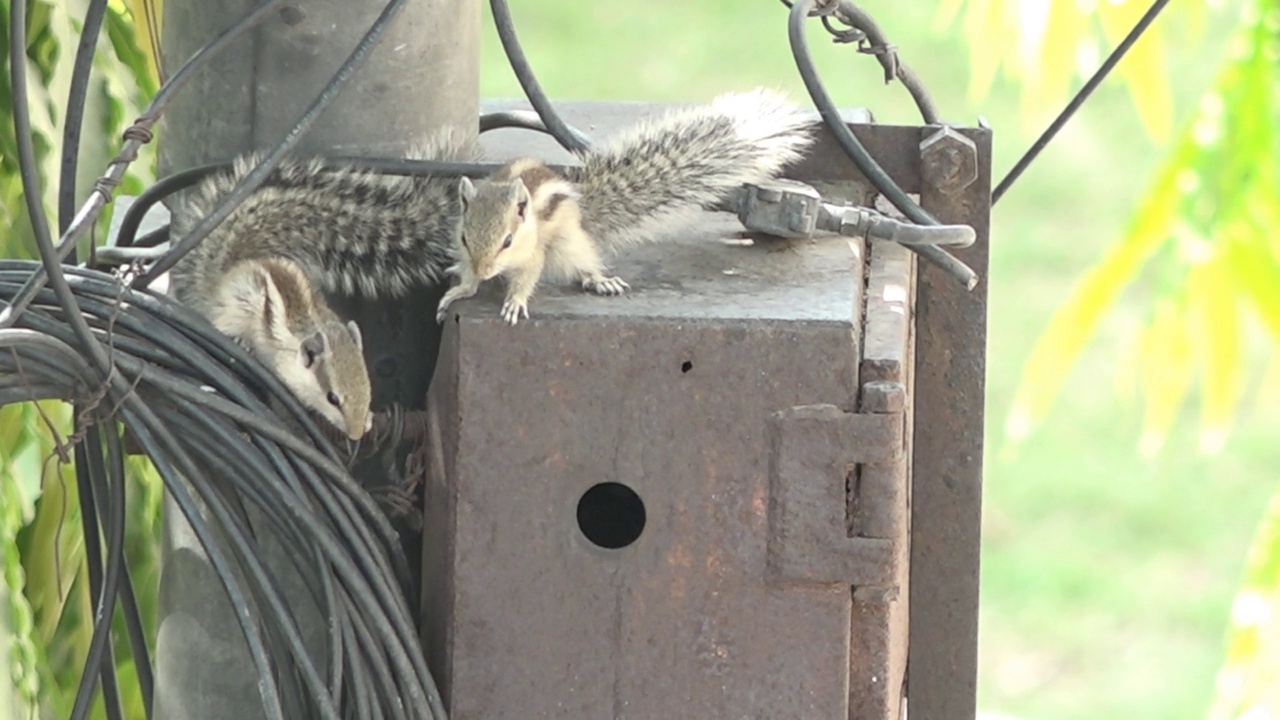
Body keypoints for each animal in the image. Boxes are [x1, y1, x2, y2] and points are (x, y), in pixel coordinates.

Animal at [435, 88, 814, 324]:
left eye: (508, 241)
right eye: (465, 239)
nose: (485, 270)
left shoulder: (534, 254)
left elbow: (527, 279)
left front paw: (515, 302)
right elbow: (468, 280)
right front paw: (461, 288)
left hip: (568, 243)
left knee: (582, 263)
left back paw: (599, 280)